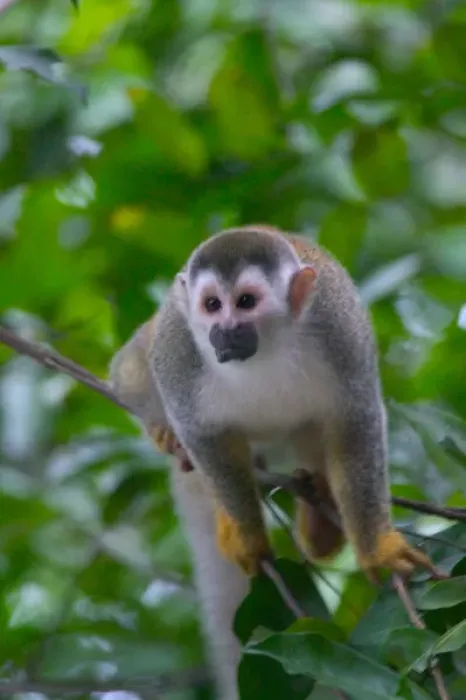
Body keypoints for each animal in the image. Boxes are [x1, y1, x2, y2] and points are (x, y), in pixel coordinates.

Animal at [109, 225, 436, 700]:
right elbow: (202, 434)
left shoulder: (341, 331)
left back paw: (320, 519)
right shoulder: (178, 348)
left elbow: (355, 422)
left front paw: (377, 547)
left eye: (246, 301)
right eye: (212, 305)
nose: (225, 330)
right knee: (135, 368)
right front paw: (247, 536)